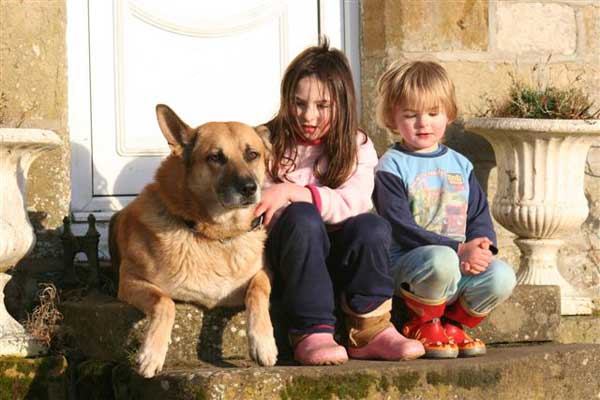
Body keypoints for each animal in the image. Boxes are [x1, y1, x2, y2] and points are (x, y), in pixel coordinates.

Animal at [108, 104, 276, 378]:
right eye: (215, 157)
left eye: (252, 154)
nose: (250, 188)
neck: (215, 235)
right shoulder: (131, 279)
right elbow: (165, 302)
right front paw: (151, 354)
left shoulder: (263, 274)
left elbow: (257, 291)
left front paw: (263, 343)